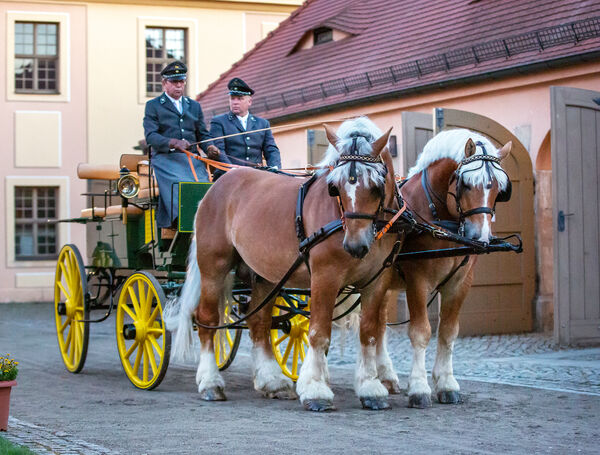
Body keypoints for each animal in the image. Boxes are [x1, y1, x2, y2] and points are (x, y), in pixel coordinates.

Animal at [166, 116, 406, 412]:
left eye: (376, 186)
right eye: (335, 188)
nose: (355, 246)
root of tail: (216, 186)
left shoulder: (377, 281)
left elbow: (371, 333)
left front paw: (371, 387)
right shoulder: (325, 277)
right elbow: (318, 332)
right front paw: (316, 390)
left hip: (265, 276)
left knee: (258, 321)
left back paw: (272, 381)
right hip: (214, 266)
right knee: (207, 320)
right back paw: (211, 382)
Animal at [382, 129, 512, 410]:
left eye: (499, 188)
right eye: (466, 184)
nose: (480, 237)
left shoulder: (461, 282)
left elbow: (449, 332)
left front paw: (446, 383)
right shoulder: (417, 280)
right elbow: (421, 332)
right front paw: (419, 388)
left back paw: (384, 377)